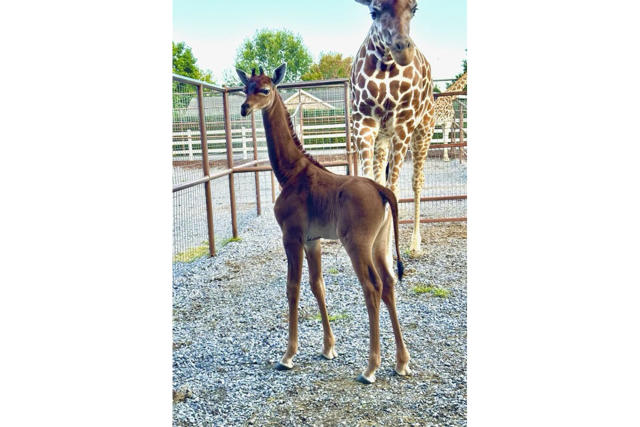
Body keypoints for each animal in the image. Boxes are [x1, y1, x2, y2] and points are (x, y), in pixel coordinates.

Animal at [238, 63, 412, 384]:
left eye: (265, 89)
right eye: (246, 88)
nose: (245, 108)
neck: (290, 173)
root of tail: (382, 191)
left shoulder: (291, 236)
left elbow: (292, 287)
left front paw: (288, 355)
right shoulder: (313, 240)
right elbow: (317, 284)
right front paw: (328, 348)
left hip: (357, 244)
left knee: (372, 287)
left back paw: (370, 368)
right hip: (380, 244)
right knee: (389, 284)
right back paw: (401, 362)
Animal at [350, 0, 436, 258]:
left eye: (414, 8)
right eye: (373, 11)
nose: (402, 50)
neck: (386, 66)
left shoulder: (403, 125)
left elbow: (394, 190)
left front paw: (387, 254)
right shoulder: (363, 123)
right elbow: (372, 184)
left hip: (423, 131)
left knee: (417, 181)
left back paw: (415, 245)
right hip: (383, 137)